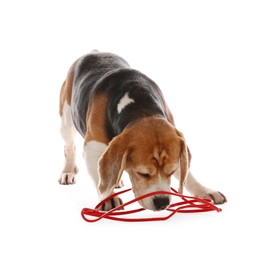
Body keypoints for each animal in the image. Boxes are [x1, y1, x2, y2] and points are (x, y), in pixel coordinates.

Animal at [58, 50, 226, 211]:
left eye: (171, 171)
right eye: (143, 173)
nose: (162, 203)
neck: (141, 110)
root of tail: (94, 52)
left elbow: (187, 175)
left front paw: (204, 190)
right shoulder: (92, 149)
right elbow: (101, 181)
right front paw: (109, 198)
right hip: (66, 119)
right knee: (69, 147)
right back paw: (68, 172)